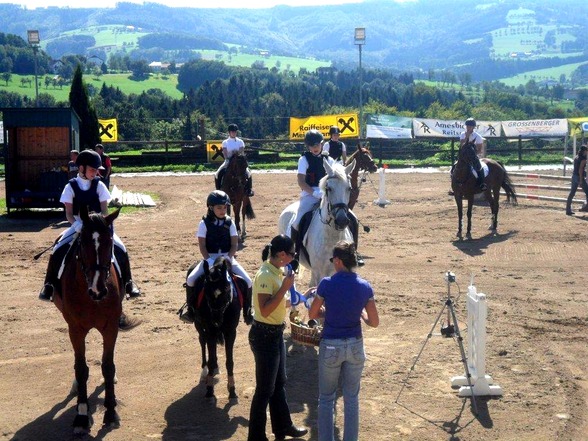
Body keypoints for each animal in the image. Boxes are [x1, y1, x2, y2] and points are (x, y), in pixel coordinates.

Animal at [51, 205, 124, 434]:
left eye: (109, 242)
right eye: (82, 243)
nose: (98, 290)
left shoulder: (110, 327)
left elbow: (108, 366)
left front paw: (110, 412)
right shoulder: (75, 329)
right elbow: (81, 368)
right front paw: (82, 416)